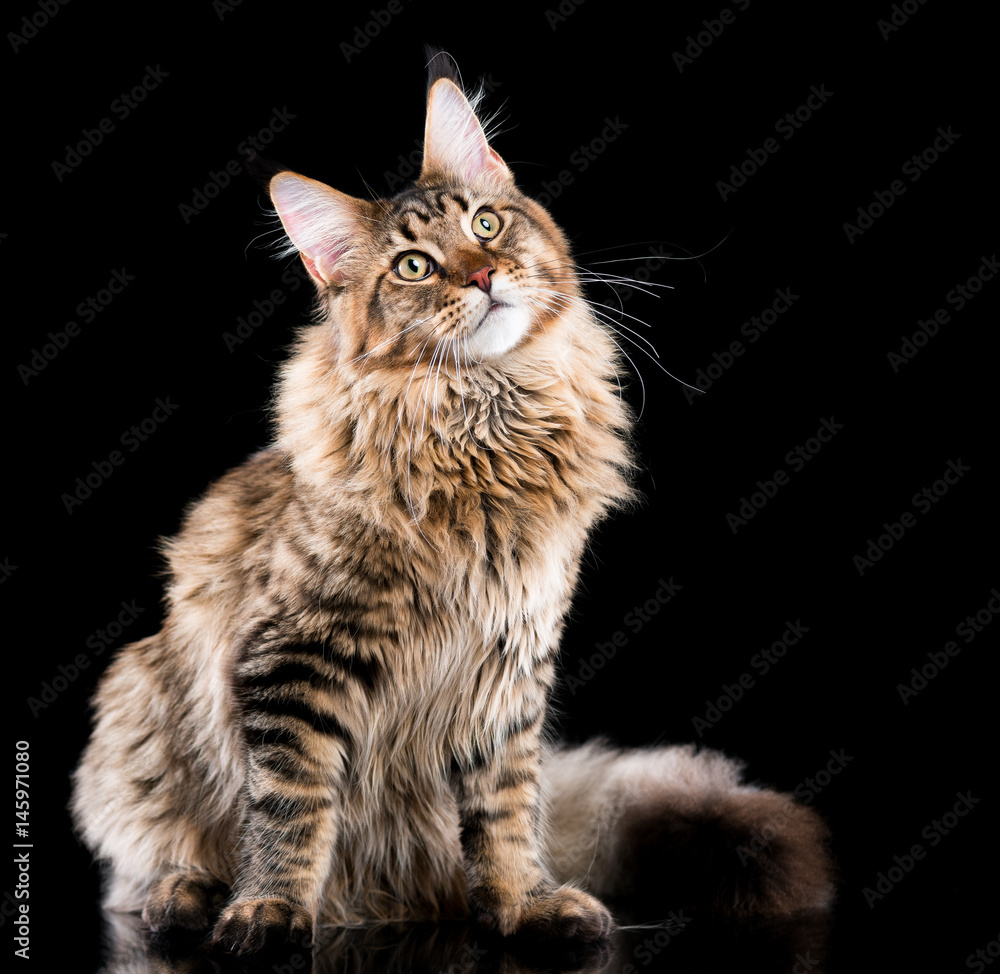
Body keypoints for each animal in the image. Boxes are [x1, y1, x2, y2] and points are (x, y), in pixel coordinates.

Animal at [72, 51, 836, 952]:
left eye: (486, 225)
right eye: (413, 265)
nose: (484, 275)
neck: (487, 430)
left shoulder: (510, 662)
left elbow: (503, 811)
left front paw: (521, 902)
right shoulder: (296, 654)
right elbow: (291, 807)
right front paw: (270, 910)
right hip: (137, 700)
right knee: (140, 869)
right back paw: (188, 895)